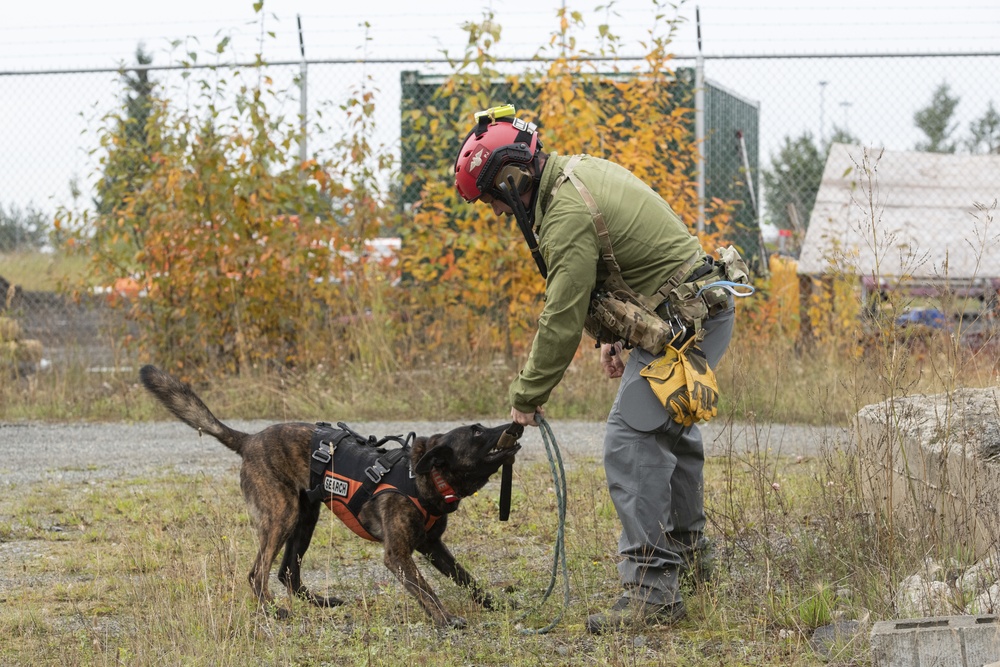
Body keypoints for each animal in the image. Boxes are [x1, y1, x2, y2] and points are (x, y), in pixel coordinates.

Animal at [140, 366, 524, 628]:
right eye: (477, 432)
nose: (516, 426)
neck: (424, 476)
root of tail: (248, 440)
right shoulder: (398, 554)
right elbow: (425, 588)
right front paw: (445, 619)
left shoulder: (432, 547)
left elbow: (467, 579)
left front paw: (494, 604)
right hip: (282, 516)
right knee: (257, 573)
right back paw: (273, 611)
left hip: (305, 517)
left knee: (288, 574)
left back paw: (322, 603)